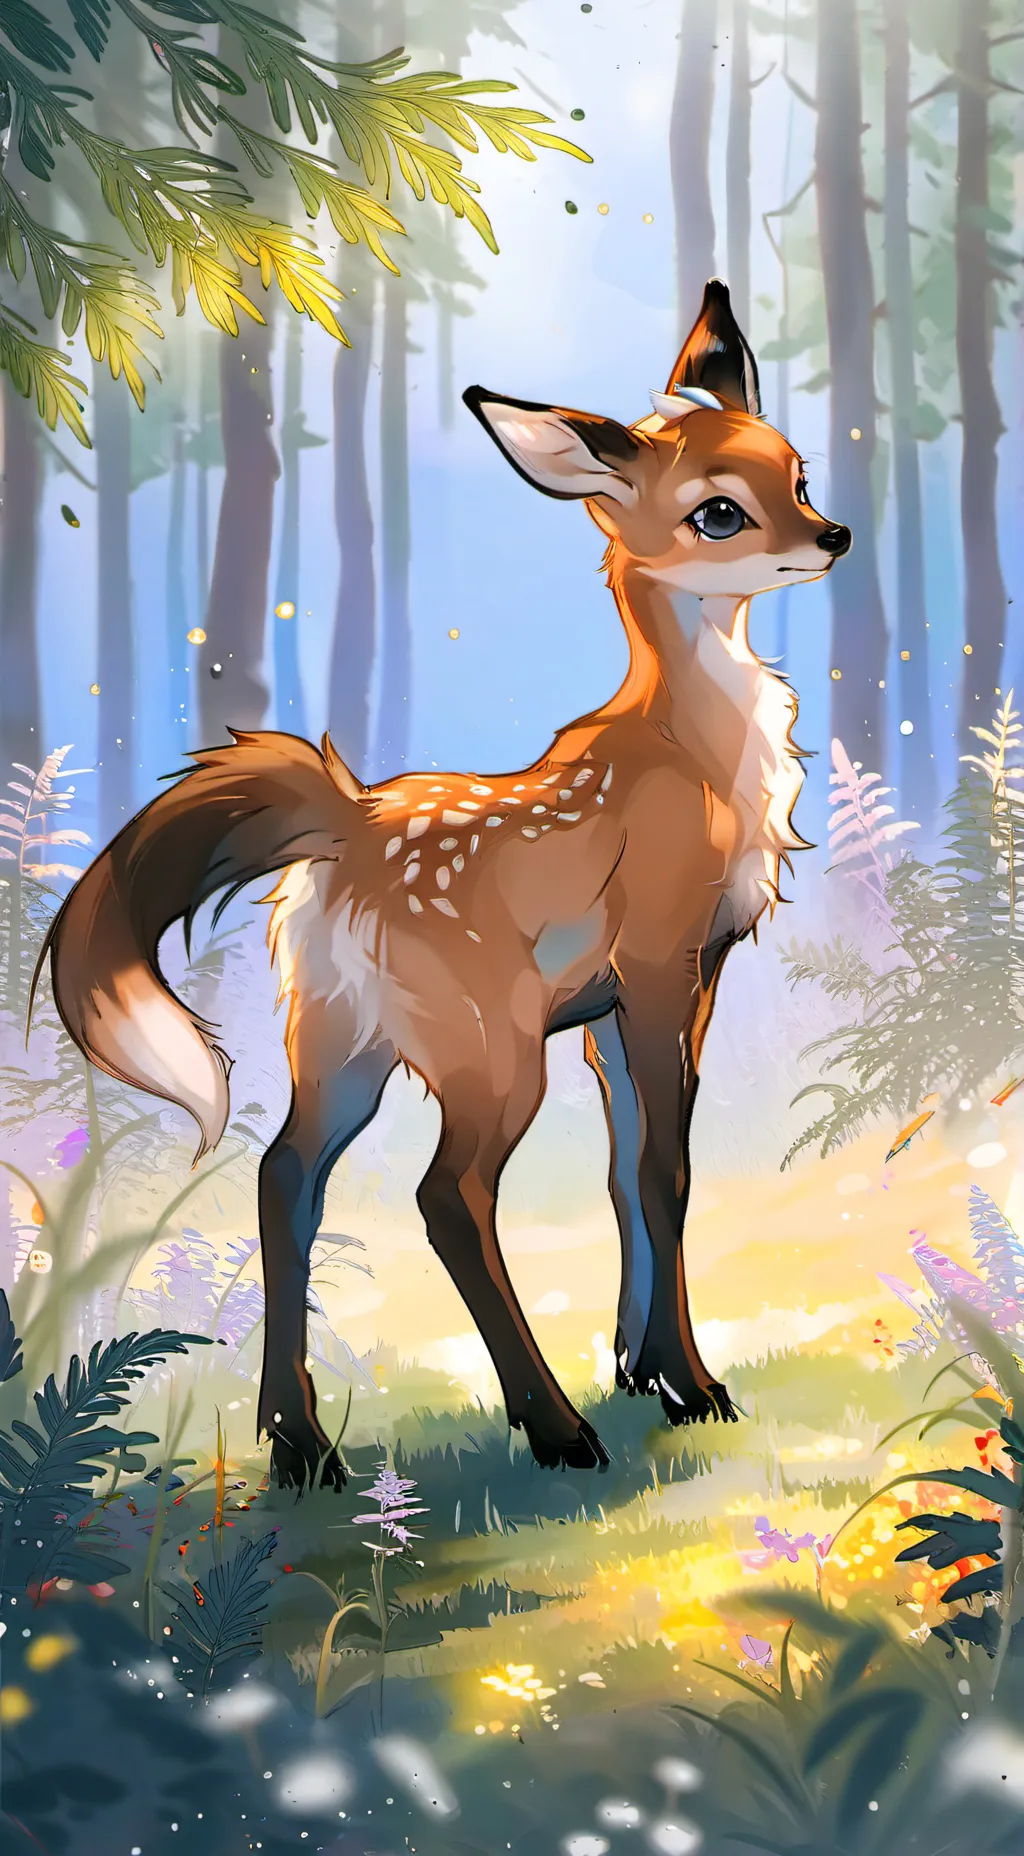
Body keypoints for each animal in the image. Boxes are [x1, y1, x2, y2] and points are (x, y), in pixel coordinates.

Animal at [37, 281, 850, 1490]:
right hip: (490, 1051)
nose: (833, 535)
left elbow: (625, 1178)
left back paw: (301, 1443)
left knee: (283, 1179)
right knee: (446, 1198)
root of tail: (347, 819)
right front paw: (691, 1384)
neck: (697, 759)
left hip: (345, 1046)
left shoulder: (609, 1008)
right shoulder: (667, 967)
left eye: (795, 476)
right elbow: (669, 1172)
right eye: (718, 514)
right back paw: (550, 1427)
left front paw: (638, 1364)